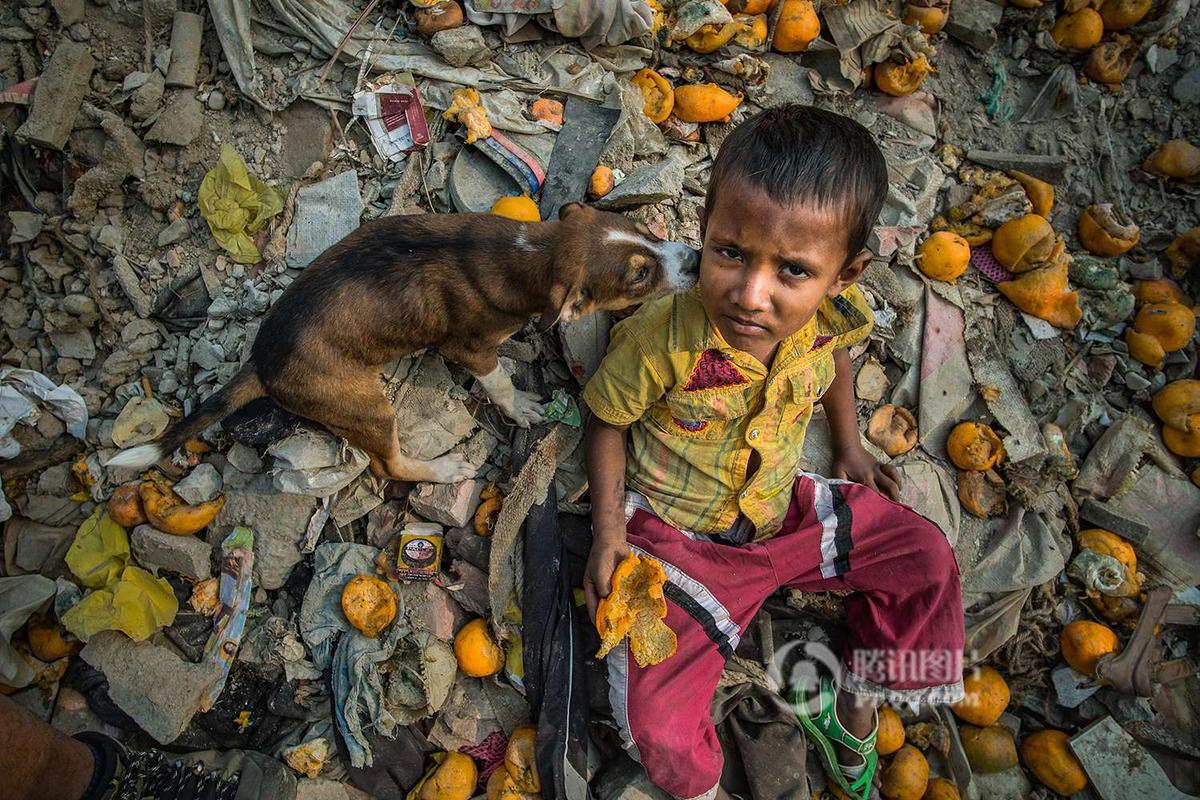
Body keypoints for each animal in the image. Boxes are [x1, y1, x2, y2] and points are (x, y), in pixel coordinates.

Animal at [110, 203, 700, 484]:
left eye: (643, 228)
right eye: (639, 275)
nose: (695, 258)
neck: (528, 253)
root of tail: (260, 362)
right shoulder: (471, 349)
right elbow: (499, 381)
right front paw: (523, 407)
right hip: (369, 408)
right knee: (387, 467)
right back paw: (441, 471)